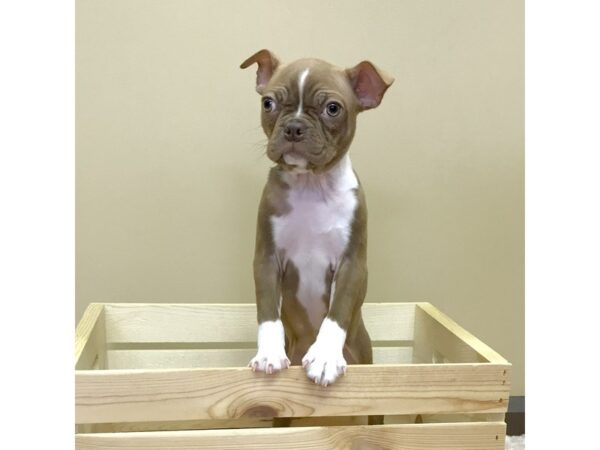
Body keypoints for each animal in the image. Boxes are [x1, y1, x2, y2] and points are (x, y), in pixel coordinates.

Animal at [241, 49, 392, 386]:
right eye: (267, 103)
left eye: (332, 109)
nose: (294, 126)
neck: (311, 185)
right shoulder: (266, 259)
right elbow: (268, 312)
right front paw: (269, 353)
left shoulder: (351, 265)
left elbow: (336, 314)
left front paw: (325, 357)